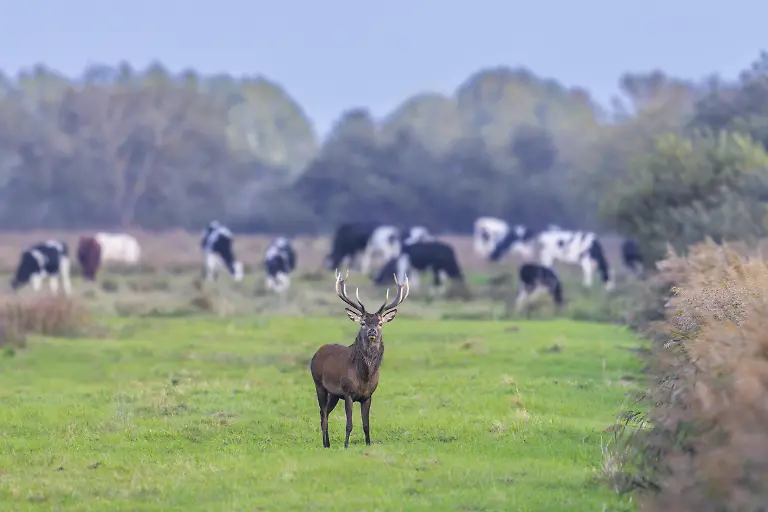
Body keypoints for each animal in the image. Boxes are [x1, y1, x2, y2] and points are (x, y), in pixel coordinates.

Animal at [309, 269, 410, 449]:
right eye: (363, 322)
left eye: (380, 323)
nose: (372, 331)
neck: (364, 375)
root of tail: (317, 353)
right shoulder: (348, 393)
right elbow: (349, 424)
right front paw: (345, 445)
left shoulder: (368, 396)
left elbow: (366, 424)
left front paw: (368, 444)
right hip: (319, 384)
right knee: (323, 415)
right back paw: (326, 444)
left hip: (334, 394)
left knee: (325, 413)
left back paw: (327, 443)